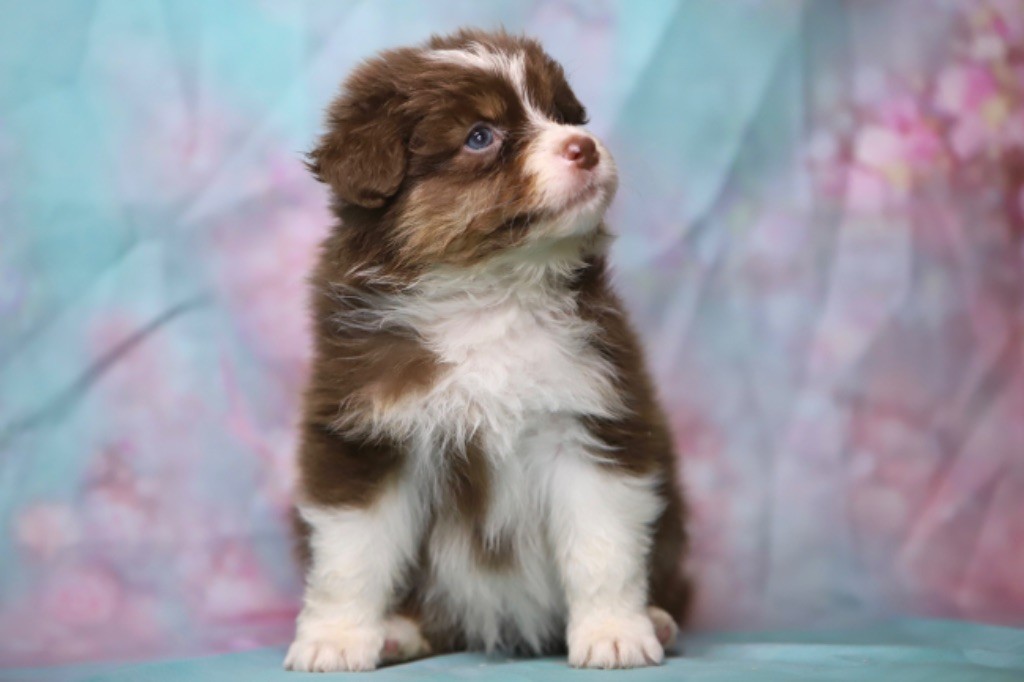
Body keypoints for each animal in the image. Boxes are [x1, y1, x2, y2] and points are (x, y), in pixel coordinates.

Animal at [285, 29, 690, 672]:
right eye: (481, 136)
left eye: (562, 114)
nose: (585, 147)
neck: (487, 294)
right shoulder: (366, 432)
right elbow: (351, 552)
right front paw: (336, 639)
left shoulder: (589, 415)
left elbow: (602, 545)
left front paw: (614, 633)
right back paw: (399, 631)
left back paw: (658, 618)